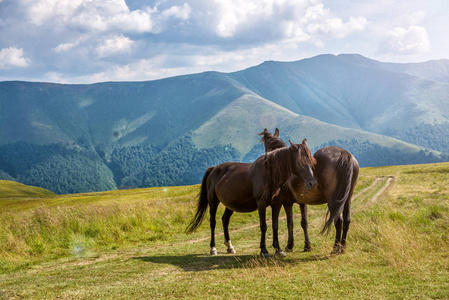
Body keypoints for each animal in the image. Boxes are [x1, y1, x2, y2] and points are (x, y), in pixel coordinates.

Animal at [185, 139, 316, 256]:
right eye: (300, 162)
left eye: (312, 161)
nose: (312, 183)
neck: (269, 173)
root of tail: (214, 169)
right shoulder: (261, 203)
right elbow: (264, 226)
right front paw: (264, 250)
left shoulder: (277, 204)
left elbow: (275, 226)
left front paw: (278, 249)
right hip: (213, 202)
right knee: (213, 222)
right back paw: (213, 249)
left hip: (230, 205)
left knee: (225, 220)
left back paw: (230, 247)